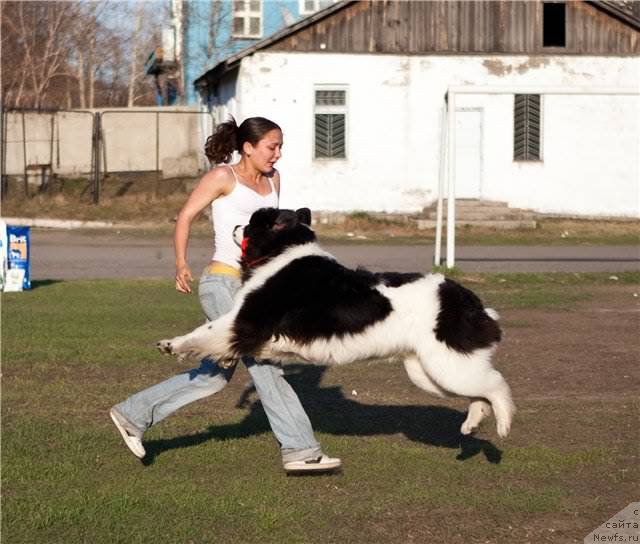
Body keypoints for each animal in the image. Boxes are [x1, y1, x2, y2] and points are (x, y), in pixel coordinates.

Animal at [159, 207, 516, 438]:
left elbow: (205, 331)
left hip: (445, 363)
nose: (234, 227)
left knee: (496, 383)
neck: (282, 251)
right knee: (479, 391)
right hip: (429, 371)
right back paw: (472, 424)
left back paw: (503, 426)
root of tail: (469, 300)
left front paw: (171, 345)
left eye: (251, 224)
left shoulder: (245, 318)